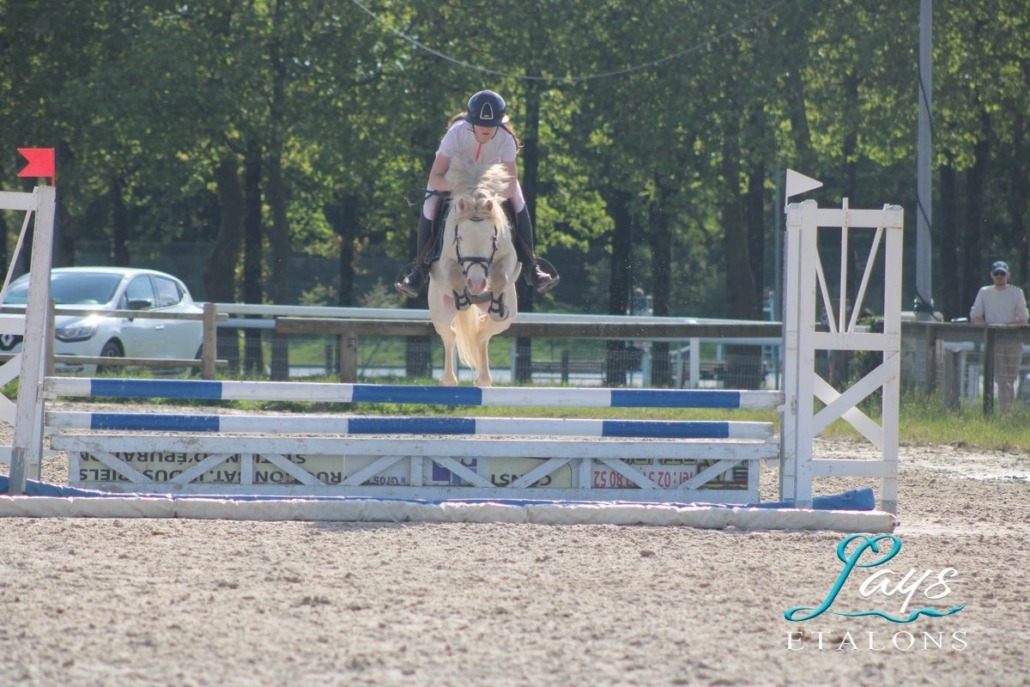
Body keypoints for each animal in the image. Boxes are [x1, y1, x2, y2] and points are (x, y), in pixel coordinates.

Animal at [428, 159, 520, 387]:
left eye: (492, 238)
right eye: (459, 237)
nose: (477, 284)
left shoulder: (509, 258)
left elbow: (501, 276)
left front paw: (495, 304)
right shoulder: (444, 262)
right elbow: (453, 274)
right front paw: (463, 298)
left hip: (509, 313)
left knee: (483, 333)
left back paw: (484, 379)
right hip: (439, 310)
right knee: (449, 334)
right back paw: (449, 379)